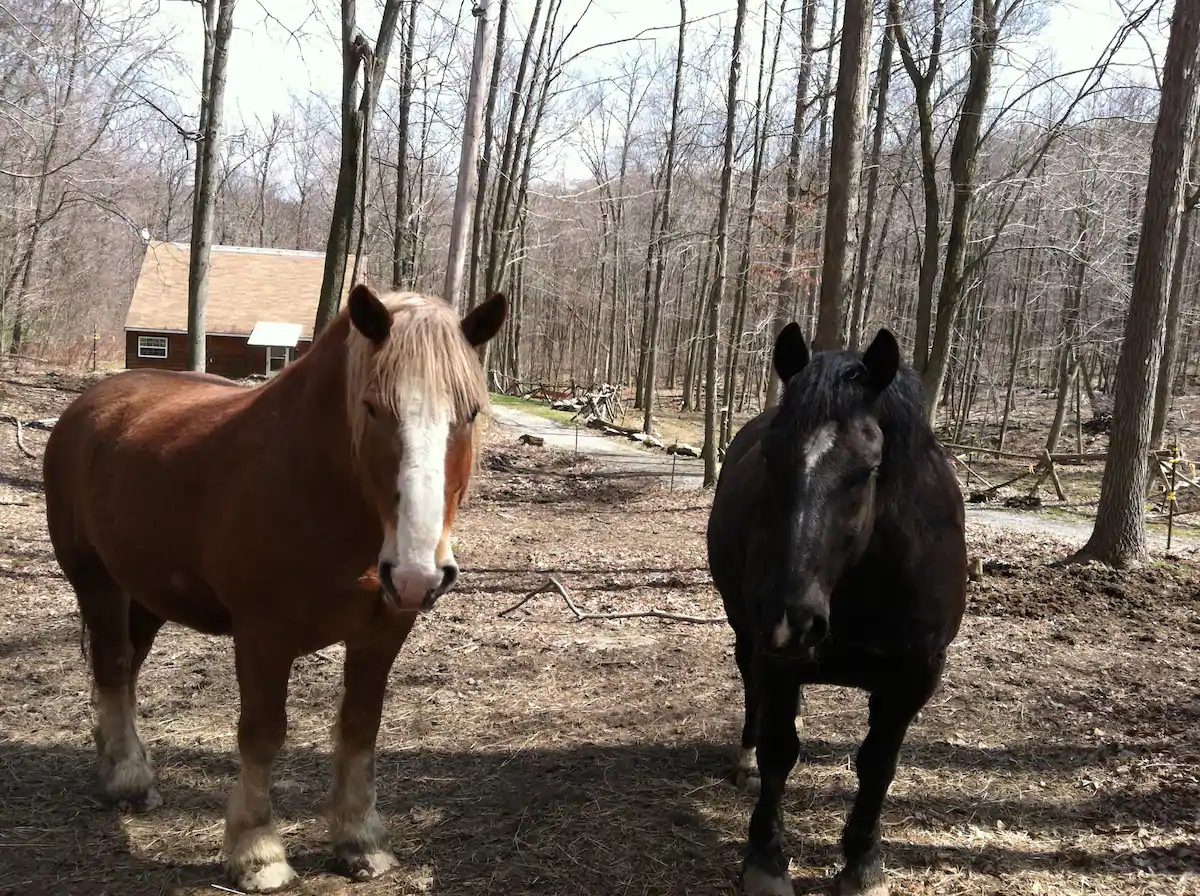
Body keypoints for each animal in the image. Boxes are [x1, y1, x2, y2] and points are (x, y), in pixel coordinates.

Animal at [43, 285, 506, 892]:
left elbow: (360, 729)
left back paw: (120, 762)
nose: (416, 575)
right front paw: (258, 852)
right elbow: (263, 734)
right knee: (113, 665)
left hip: (144, 593)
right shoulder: (263, 636)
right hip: (95, 581)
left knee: (127, 667)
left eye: (469, 413)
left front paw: (360, 841)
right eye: (373, 408)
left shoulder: (384, 632)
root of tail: (87, 405)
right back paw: (127, 778)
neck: (322, 487)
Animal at [705, 321, 969, 896]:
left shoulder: (915, 677)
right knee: (754, 697)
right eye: (769, 458)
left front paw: (862, 863)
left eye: (868, 469)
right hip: (749, 637)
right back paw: (745, 760)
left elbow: (879, 763)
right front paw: (766, 859)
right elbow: (780, 750)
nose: (792, 620)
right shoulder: (775, 659)